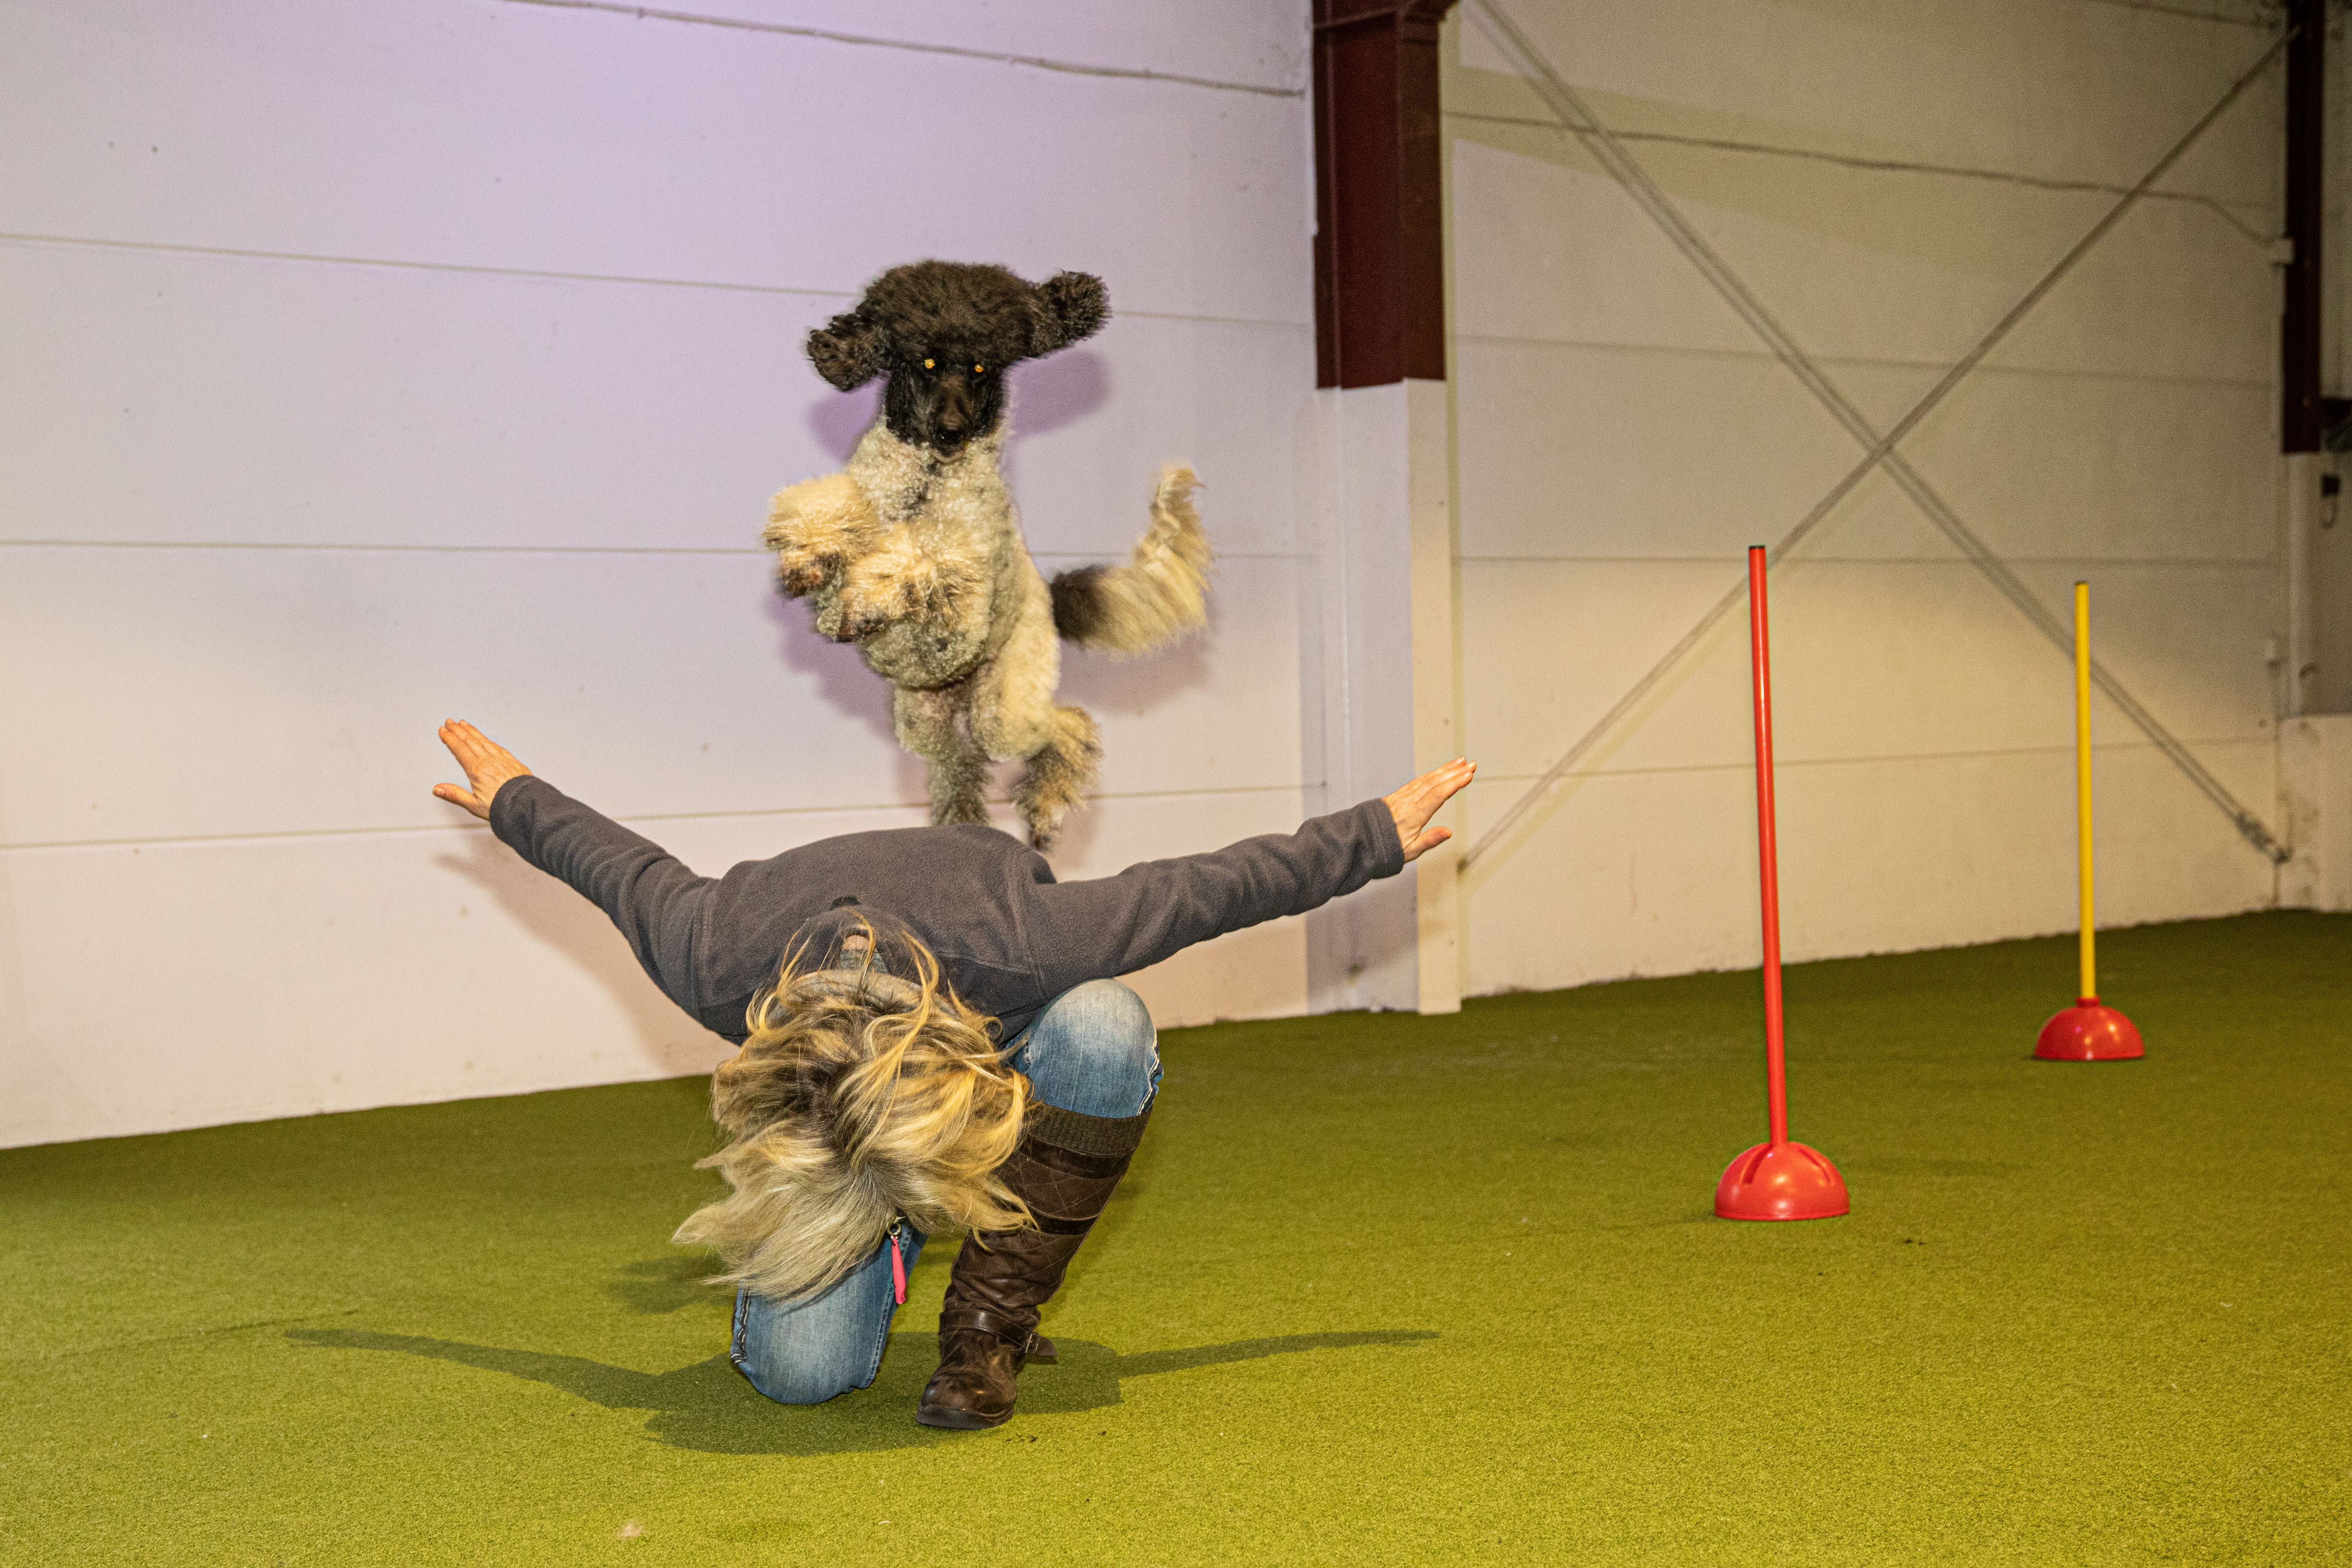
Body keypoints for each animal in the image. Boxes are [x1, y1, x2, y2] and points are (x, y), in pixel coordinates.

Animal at [766, 261, 1213, 846]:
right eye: (928, 363)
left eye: (981, 368)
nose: (951, 431)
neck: (926, 481)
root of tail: (1048, 601)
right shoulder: (863, 491)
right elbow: (822, 506)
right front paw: (810, 561)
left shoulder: (963, 592)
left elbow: (915, 561)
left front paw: (864, 598)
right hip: (927, 720)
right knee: (959, 766)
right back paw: (964, 827)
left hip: (1005, 706)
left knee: (1065, 726)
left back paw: (1046, 808)